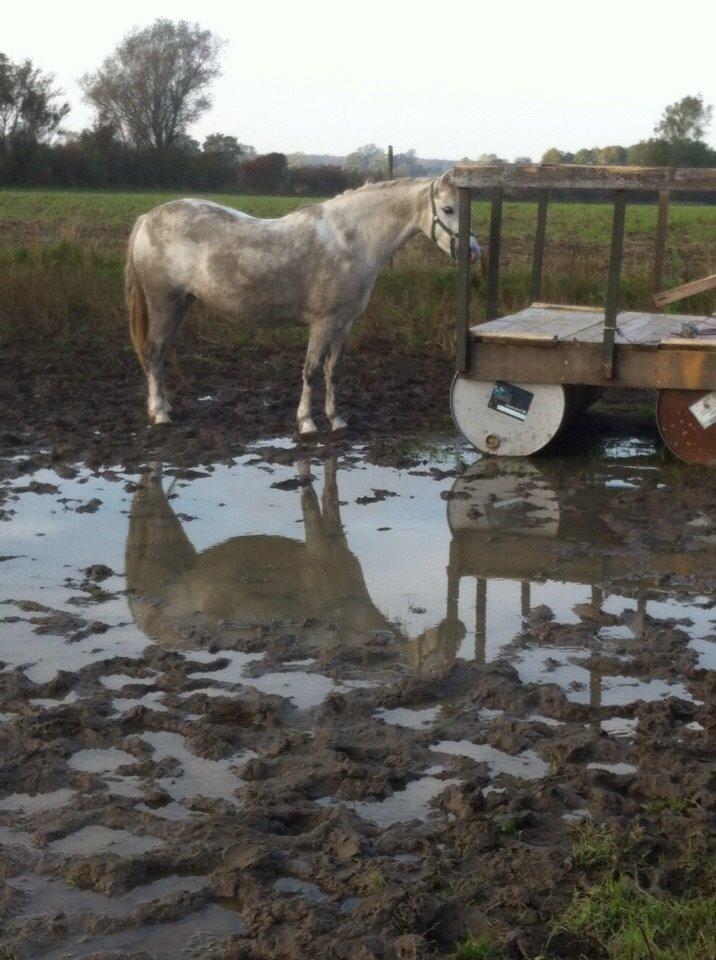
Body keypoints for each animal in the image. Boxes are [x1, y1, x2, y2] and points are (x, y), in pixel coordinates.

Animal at [126, 174, 478, 436]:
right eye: (448, 209)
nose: (474, 251)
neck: (351, 240)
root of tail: (147, 218)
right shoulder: (322, 323)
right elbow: (310, 370)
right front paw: (307, 423)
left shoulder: (344, 323)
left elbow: (333, 371)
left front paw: (336, 420)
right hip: (164, 304)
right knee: (153, 351)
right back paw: (160, 414)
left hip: (180, 306)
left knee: (158, 354)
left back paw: (164, 407)